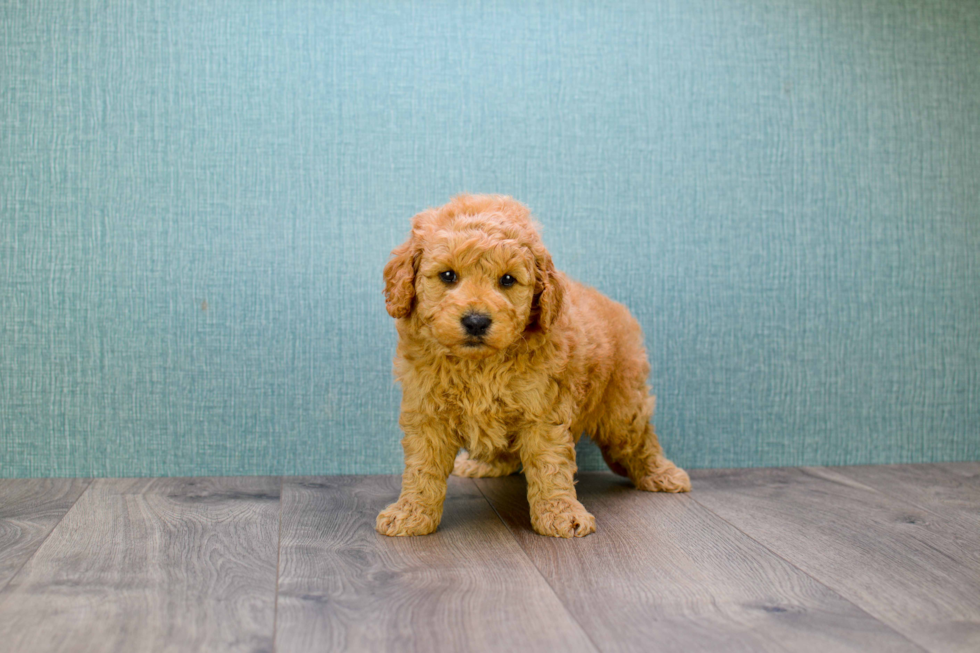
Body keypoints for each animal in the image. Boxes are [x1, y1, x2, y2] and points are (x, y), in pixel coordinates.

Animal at [376, 195, 688, 540]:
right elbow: (422, 467)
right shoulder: (427, 412)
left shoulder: (544, 412)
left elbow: (549, 466)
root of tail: (615, 307)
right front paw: (411, 513)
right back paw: (484, 465)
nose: (476, 321)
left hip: (621, 406)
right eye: (448, 276)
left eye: (507, 280)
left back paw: (662, 474)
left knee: (639, 439)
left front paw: (560, 513)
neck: (478, 366)